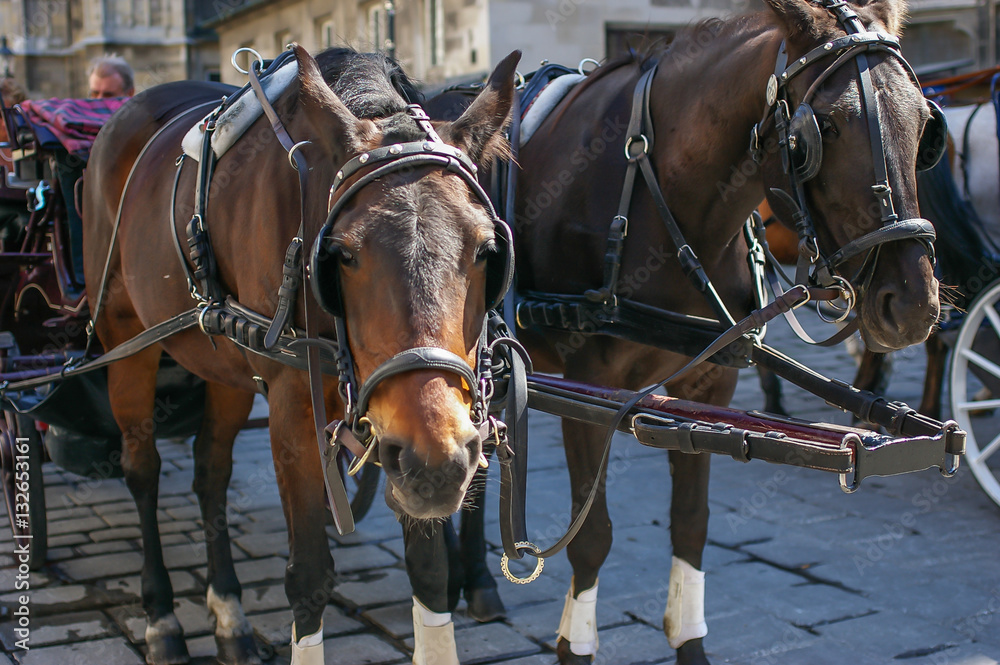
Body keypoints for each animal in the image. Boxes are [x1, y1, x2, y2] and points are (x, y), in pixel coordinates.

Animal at [83, 44, 520, 660]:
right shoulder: (295, 407)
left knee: (211, 473)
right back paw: (162, 618)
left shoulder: (397, 436)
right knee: (141, 470)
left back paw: (228, 613)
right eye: (343, 254)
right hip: (123, 339)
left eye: (486, 249)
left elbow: (430, 570)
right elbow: (309, 576)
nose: (435, 460)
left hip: (225, 366)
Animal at [428, 1, 936, 664]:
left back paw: (479, 583)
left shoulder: (708, 381)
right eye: (821, 128)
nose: (915, 304)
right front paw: (575, 645)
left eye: (925, 125)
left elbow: (692, 522)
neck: (655, 190)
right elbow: (592, 536)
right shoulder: (592, 386)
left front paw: (690, 641)